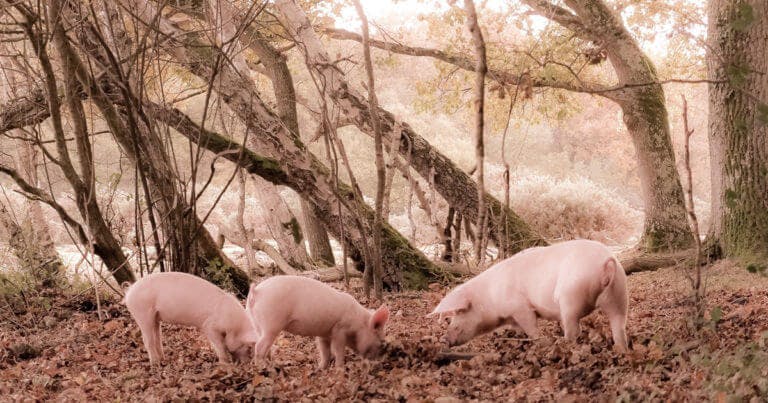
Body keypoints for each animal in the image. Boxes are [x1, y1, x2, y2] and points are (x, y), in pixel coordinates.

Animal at [123, 272, 258, 364]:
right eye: (248, 347)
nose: (247, 363)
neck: (233, 326)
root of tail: (129, 291)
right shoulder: (209, 326)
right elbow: (220, 346)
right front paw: (225, 364)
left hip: (155, 317)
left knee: (157, 337)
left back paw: (163, 359)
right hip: (142, 312)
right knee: (147, 340)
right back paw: (155, 363)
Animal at [245, 276, 389, 369]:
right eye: (381, 342)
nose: (378, 364)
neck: (358, 324)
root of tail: (256, 292)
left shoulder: (324, 334)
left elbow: (325, 352)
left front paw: (321, 368)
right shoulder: (339, 329)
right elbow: (338, 350)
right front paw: (340, 369)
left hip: (256, 322)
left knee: (260, 343)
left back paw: (271, 364)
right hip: (271, 324)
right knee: (259, 346)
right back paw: (264, 368)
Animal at [429, 239, 628, 352]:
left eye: (458, 316)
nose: (444, 339)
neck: (490, 298)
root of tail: (606, 263)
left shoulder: (520, 307)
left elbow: (531, 328)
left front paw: (540, 343)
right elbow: (520, 329)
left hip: (570, 296)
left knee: (573, 328)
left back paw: (562, 345)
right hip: (619, 293)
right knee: (619, 325)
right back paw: (621, 351)